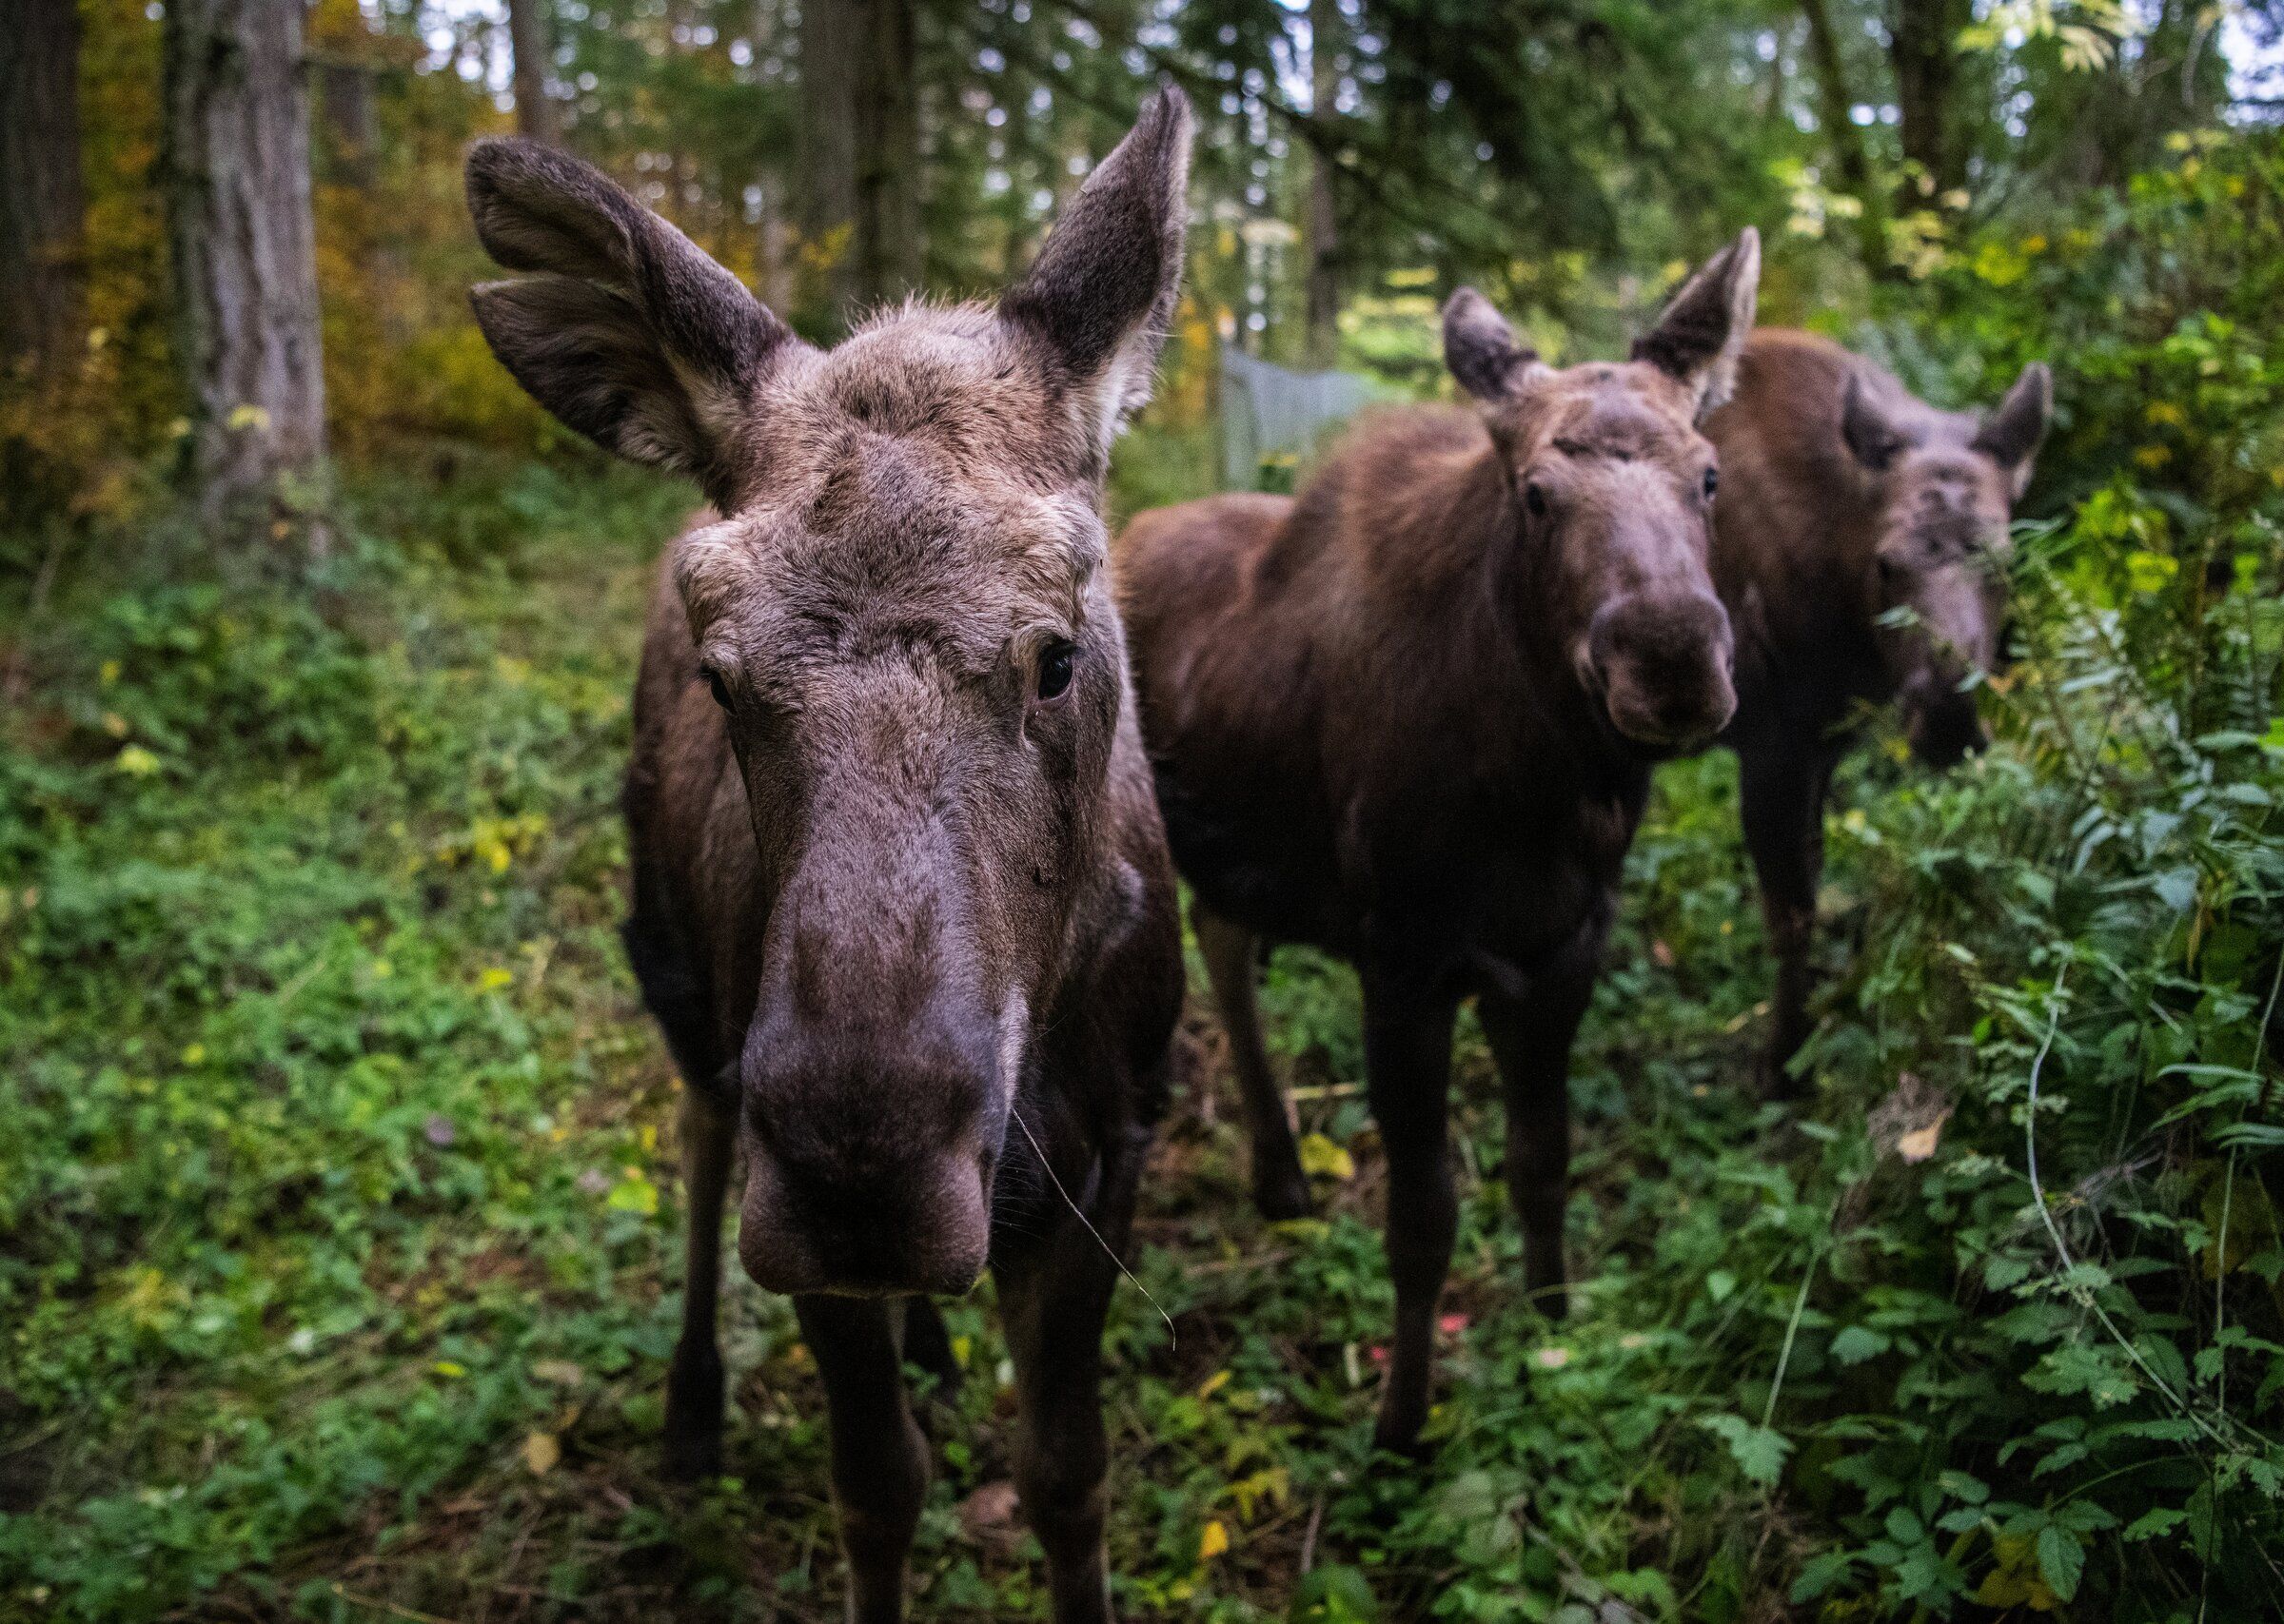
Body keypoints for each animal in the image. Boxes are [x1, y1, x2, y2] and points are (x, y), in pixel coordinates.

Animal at [475, 91, 1206, 1624]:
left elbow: (1069, 1475)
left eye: (1060, 652)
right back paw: (695, 1400)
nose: (860, 1168)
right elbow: (879, 1484)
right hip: (683, 983)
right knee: (700, 1138)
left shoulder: (1113, 1150)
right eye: (722, 671)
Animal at [1114, 228, 1754, 1452]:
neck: (1540, 794)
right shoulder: (1403, 965)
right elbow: (1424, 1222)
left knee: (1226, 934)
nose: (1671, 656)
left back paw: (1279, 1172)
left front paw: (1553, 1333)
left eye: (1709, 474)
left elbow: (1543, 1166)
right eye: (1537, 493)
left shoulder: (1563, 952)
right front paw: (1403, 1421)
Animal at [1699, 328, 2056, 1091]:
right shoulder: (1769, 743)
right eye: (1888, 563)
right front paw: (1784, 1062)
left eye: (2003, 561)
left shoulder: (1824, 739)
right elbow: (1791, 914)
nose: (1951, 723)